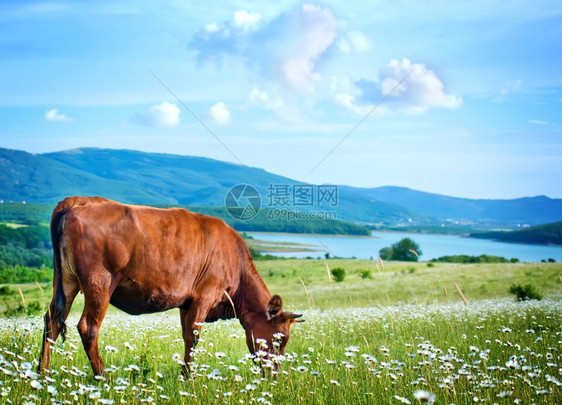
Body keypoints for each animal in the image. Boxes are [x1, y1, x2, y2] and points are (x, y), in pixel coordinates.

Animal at [38, 196, 302, 376]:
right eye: (280, 339)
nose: (274, 374)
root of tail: (77, 202)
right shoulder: (205, 295)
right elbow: (194, 337)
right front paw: (189, 378)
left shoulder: (187, 302)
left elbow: (186, 336)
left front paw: (184, 374)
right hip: (99, 284)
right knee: (88, 327)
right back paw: (103, 377)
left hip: (66, 281)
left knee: (52, 321)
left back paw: (42, 373)